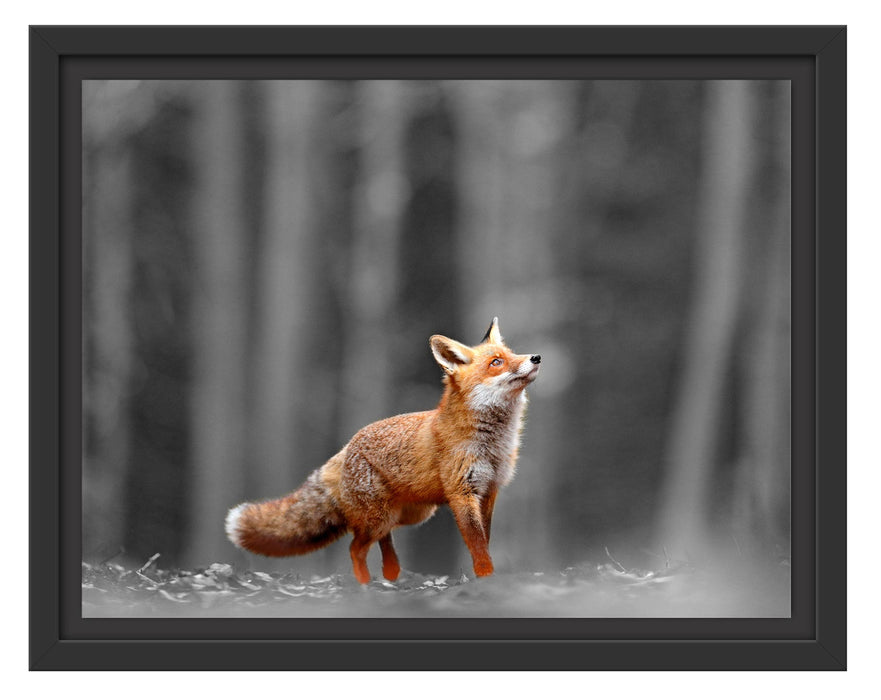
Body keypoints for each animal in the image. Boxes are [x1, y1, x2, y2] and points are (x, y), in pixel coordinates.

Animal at [225, 317, 540, 583]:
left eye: (512, 353)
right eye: (496, 362)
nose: (535, 357)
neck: (493, 444)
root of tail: (346, 447)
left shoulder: (489, 491)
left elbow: (484, 541)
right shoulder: (462, 493)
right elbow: (477, 545)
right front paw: (486, 578)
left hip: (409, 514)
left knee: (383, 541)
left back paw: (391, 575)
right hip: (381, 517)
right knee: (355, 547)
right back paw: (366, 585)